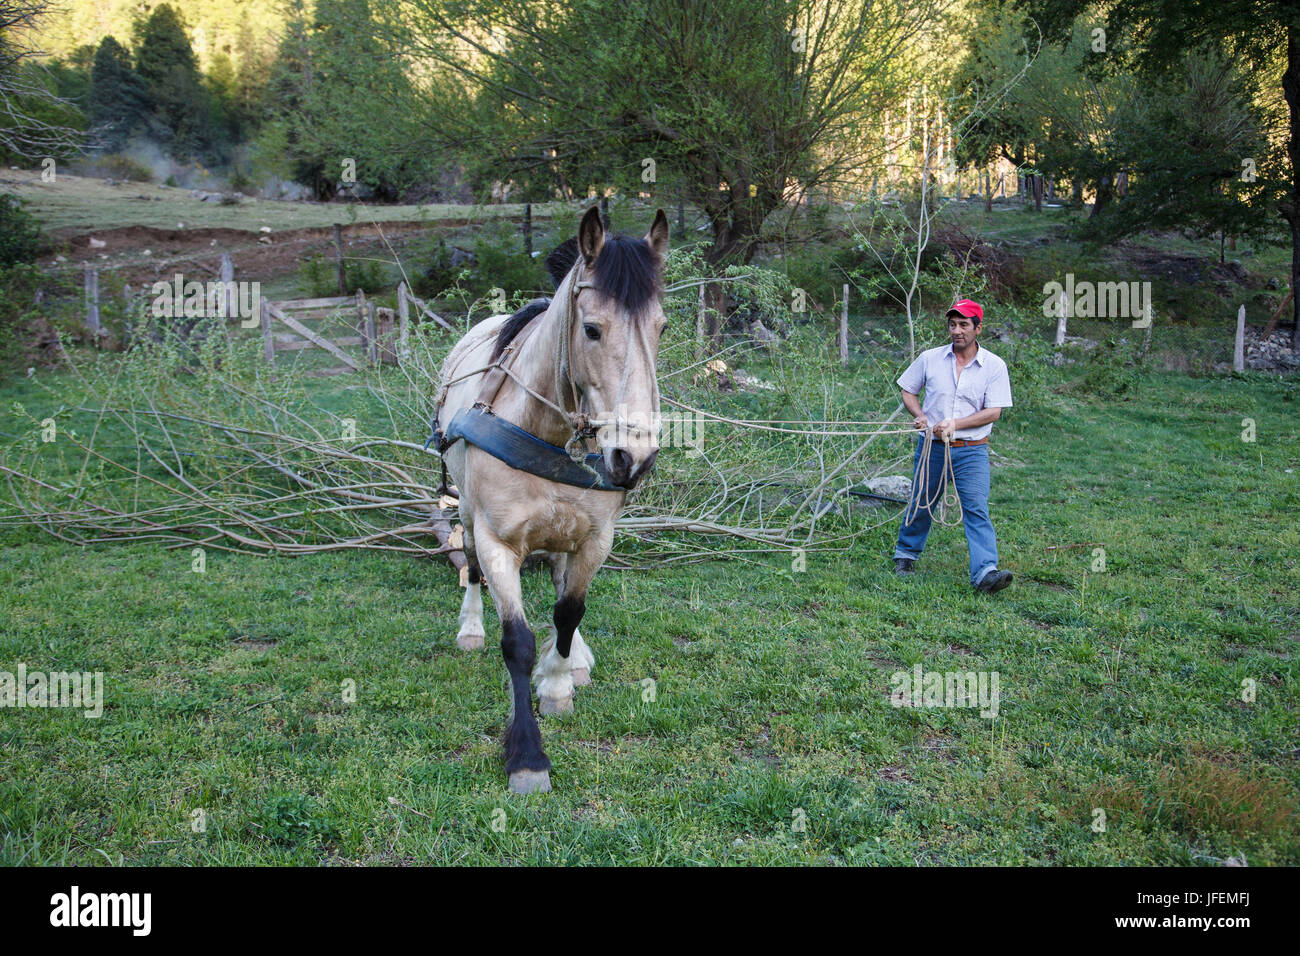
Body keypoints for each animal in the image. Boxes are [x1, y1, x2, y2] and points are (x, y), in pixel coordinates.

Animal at [433, 205, 669, 793]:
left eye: (661, 327)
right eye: (591, 329)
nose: (635, 458)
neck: (544, 429)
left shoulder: (595, 538)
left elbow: (568, 610)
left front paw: (558, 682)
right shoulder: (497, 539)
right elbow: (515, 639)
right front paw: (527, 755)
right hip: (464, 511)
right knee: (469, 566)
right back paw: (471, 626)